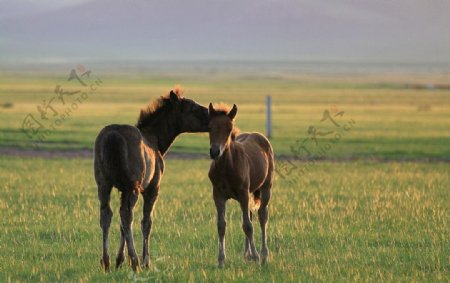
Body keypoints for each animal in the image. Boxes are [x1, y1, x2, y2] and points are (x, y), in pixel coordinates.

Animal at [94, 89, 209, 272]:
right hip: (133, 186)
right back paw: (135, 261)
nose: (211, 115)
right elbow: (146, 222)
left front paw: (119, 260)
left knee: (107, 214)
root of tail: (112, 137)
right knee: (127, 215)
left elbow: (121, 226)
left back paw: (106, 261)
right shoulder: (152, 188)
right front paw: (145, 261)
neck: (157, 141)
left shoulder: (121, 189)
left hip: (103, 183)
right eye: (192, 108)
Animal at [207, 103, 274, 268]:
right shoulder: (218, 195)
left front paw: (256, 257)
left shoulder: (243, 193)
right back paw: (246, 254)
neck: (227, 167)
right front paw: (221, 260)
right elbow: (221, 225)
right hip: (249, 193)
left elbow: (248, 226)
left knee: (262, 215)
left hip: (266, 187)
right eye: (209, 127)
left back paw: (263, 255)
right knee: (250, 214)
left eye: (229, 128)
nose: (215, 152)